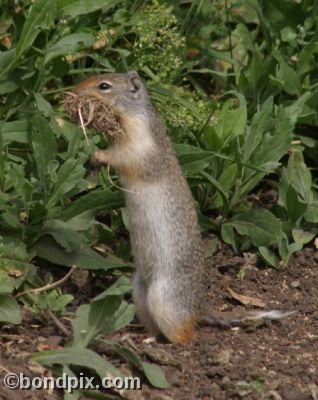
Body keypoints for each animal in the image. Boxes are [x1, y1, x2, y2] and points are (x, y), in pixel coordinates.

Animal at [69, 72, 296, 344]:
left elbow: (123, 158)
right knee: (155, 327)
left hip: (163, 299)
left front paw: (98, 155)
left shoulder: (139, 146)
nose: (74, 90)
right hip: (140, 292)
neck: (135, 115)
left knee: (185, 335)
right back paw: (141, 337)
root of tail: (199, 308)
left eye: (104, 86)